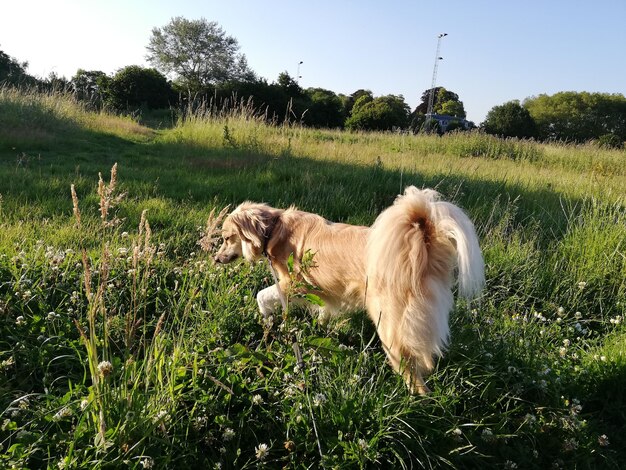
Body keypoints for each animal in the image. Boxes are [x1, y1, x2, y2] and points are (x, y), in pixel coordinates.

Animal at [214, 186, 482, 392]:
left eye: (227, 238)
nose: (215, 258)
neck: (273, 228)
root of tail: (423, 244)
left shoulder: (294, 284)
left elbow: (263, 295)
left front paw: (266, 316)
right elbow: (323, 312)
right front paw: (319, 327)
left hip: (390, 329)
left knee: (413, 374)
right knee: (425, 358)